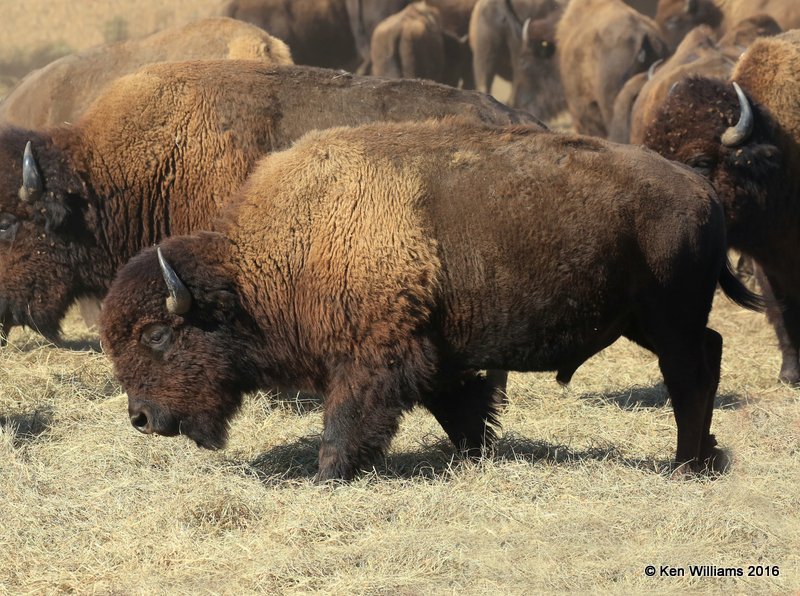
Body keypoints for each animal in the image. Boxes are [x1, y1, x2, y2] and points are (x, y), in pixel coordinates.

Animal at [101, 118, 764, 482]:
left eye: (156, 335)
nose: (140, 418)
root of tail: (699, 185)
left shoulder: (372, 359)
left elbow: (346, 421)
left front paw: (326, 476)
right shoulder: (437, 355)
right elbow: (461, 408)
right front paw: (479, 454)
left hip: (667, 320)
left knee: (689, 375)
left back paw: (683, 465)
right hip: (646, 322)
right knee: (709, 354)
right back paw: (704, 458)